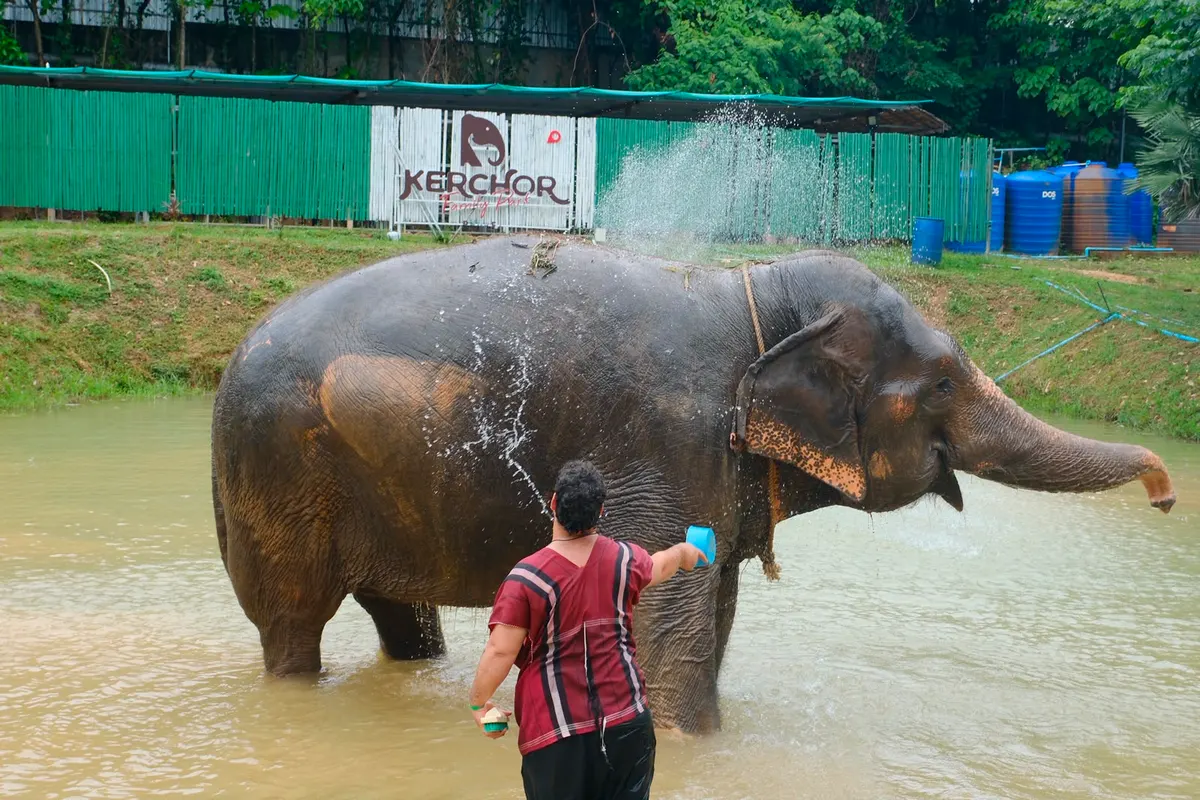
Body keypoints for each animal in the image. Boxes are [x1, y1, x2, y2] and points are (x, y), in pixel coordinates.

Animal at [210, 236, 1176, 734]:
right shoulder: (669, 442)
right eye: (941, 382)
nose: (1168, 493)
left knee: (400, 616)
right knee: (292, 622)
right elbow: (670, 619)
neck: (754, 294)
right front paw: (691, 743)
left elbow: (716, 607)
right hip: (275, 475)